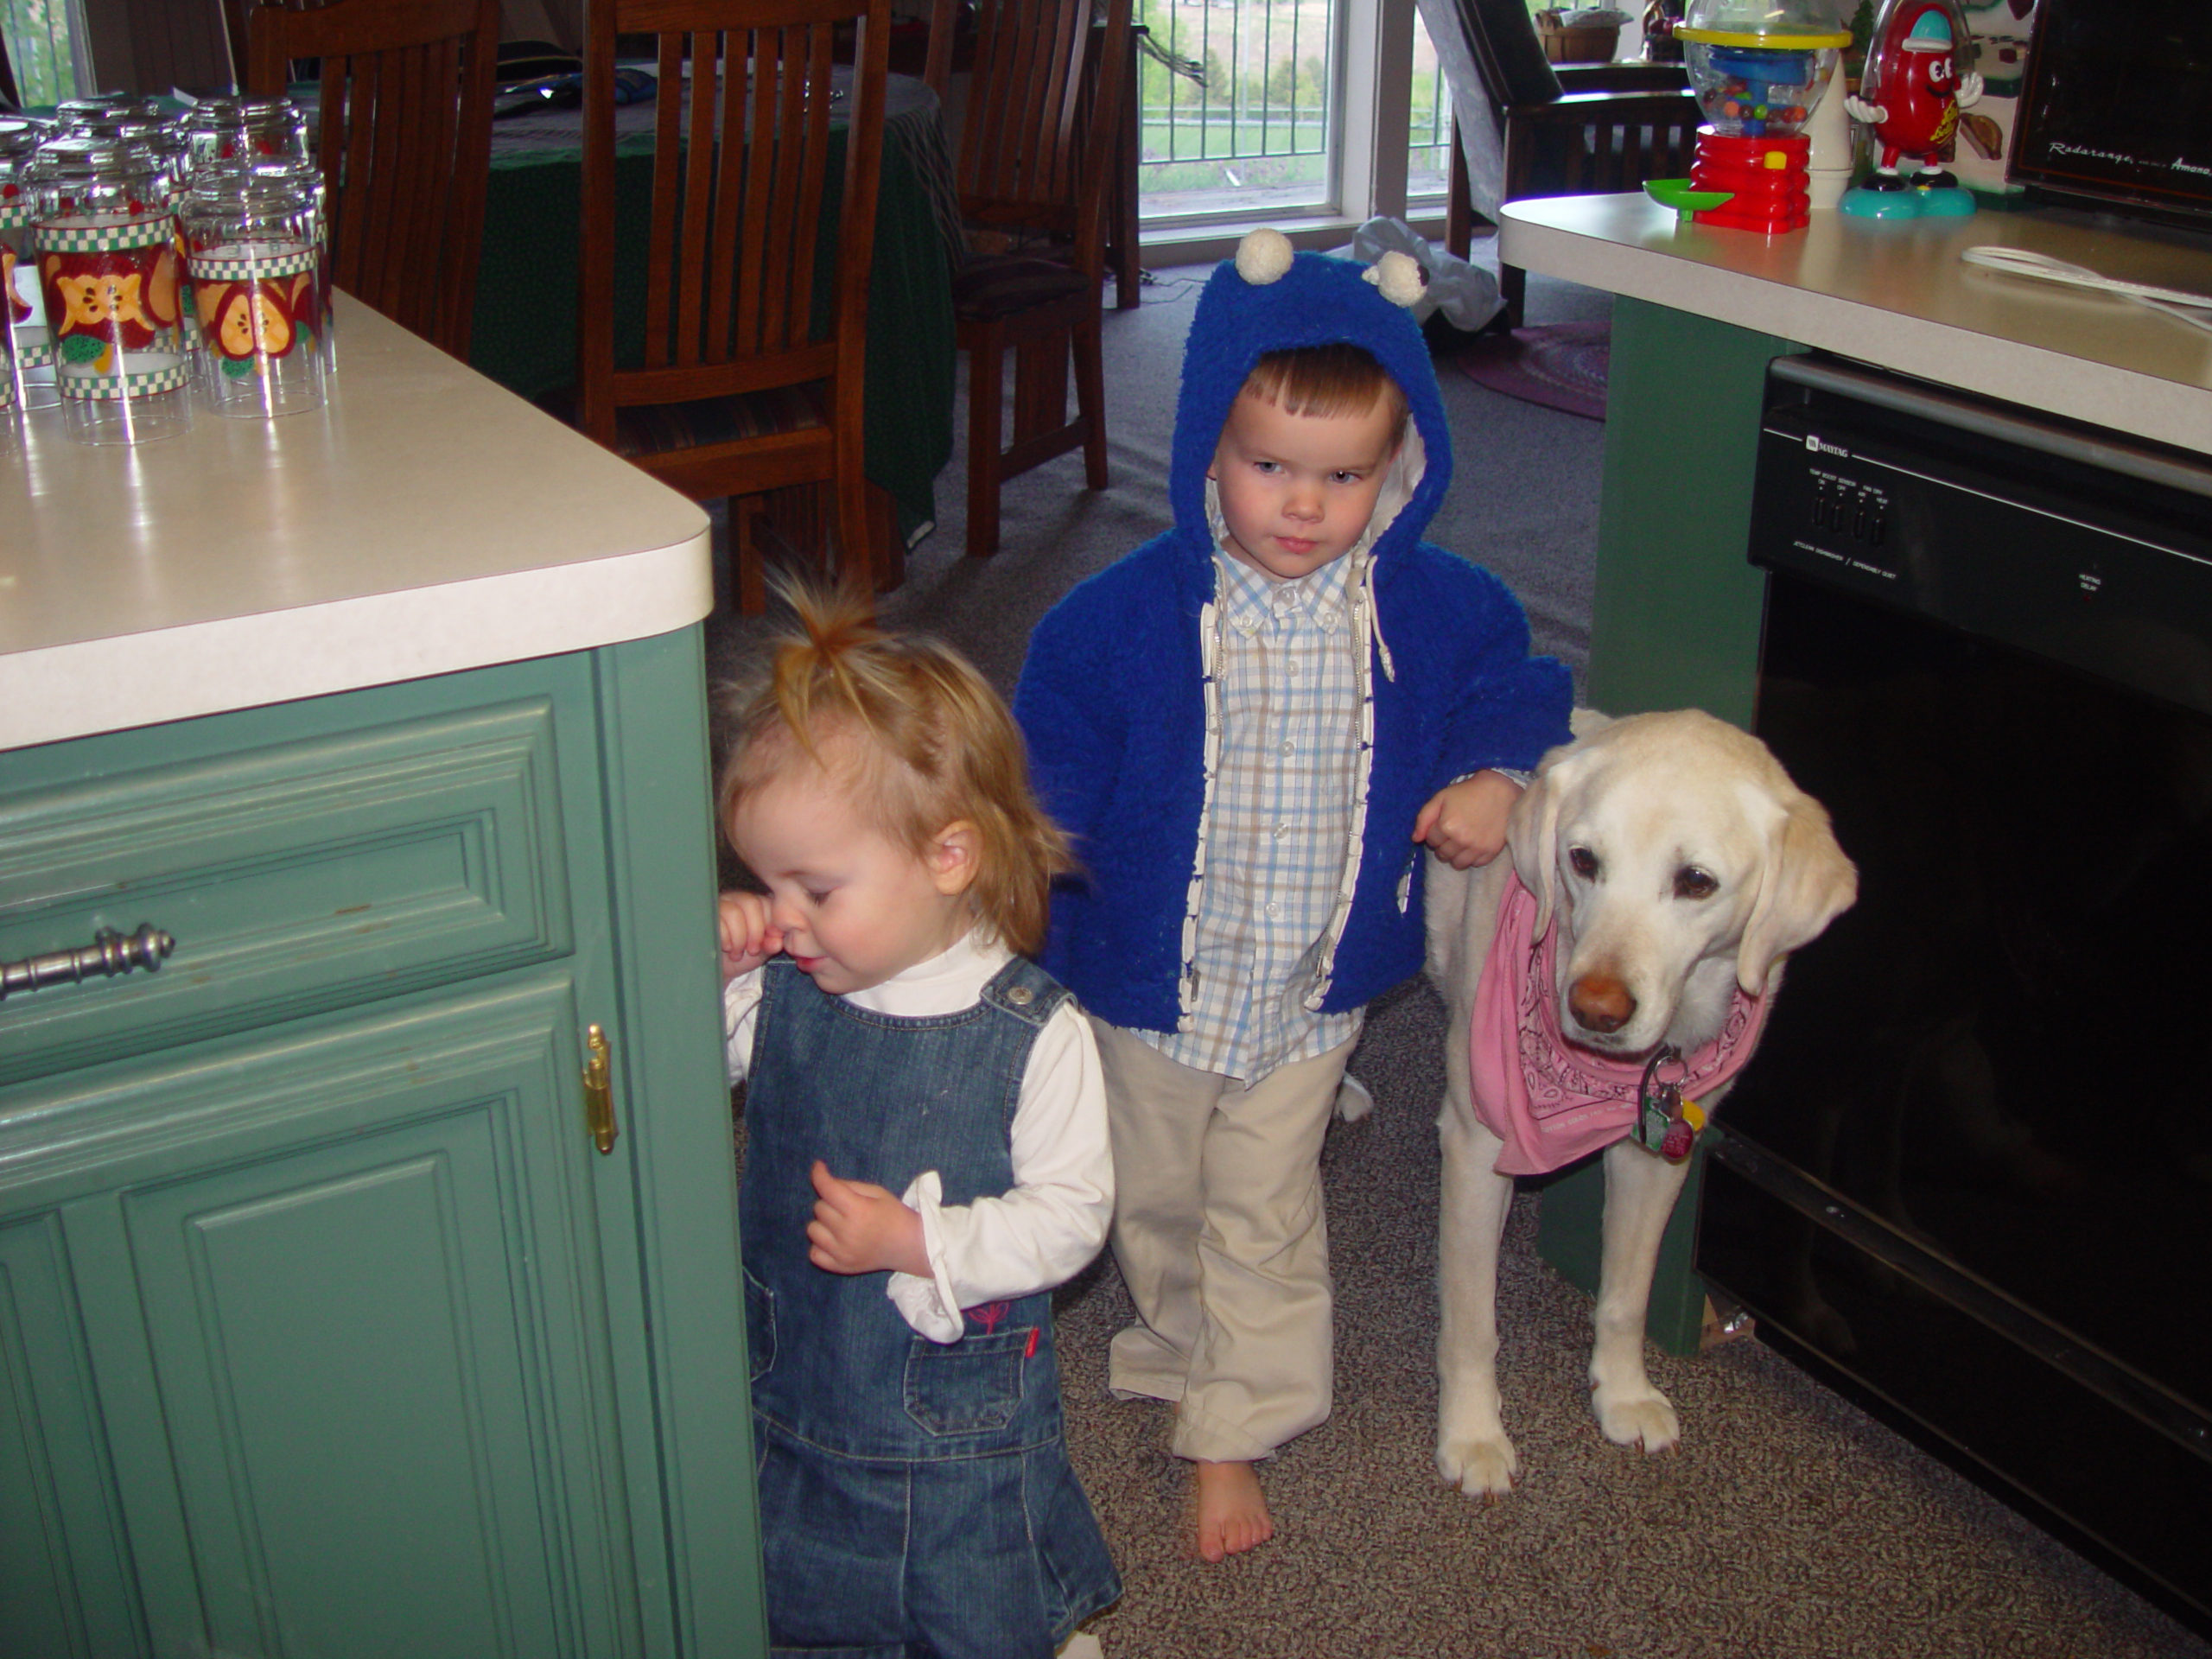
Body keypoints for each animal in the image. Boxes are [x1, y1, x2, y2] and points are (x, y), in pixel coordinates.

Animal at [1415, 708, 1849, 1503]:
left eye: (1697, 881)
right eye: (1582, 860)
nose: (1595, 1010)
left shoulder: (1660, 1155)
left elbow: (1627, 1295)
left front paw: (1622, 1395)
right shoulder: (1474, 1149)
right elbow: (1471, 1320)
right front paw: (1473, 1436)